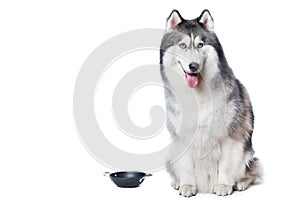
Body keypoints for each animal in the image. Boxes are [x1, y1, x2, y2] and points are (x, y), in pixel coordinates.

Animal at [159, 8, 262, 196]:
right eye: (183, 45)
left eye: (200, 45)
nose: (193, 66)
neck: (197, 94)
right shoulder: (182, 136)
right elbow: (186, 166)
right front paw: (188, 186)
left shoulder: (230, 135)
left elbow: (226, 165)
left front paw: (223, 185)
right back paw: (177, 181)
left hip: (247, 152)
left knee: (252, 169)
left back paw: (241, 182)